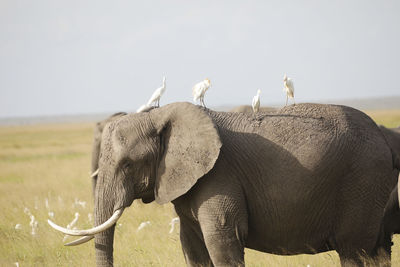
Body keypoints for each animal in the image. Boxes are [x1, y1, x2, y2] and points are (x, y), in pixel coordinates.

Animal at [49, 101, 400, 266]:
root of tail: (383, 136)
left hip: (363, 182)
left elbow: (223, 242)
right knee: (377, 251)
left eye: (127, 164)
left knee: (354, 251)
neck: (161, 114)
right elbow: (193, 249)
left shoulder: (220, 176)